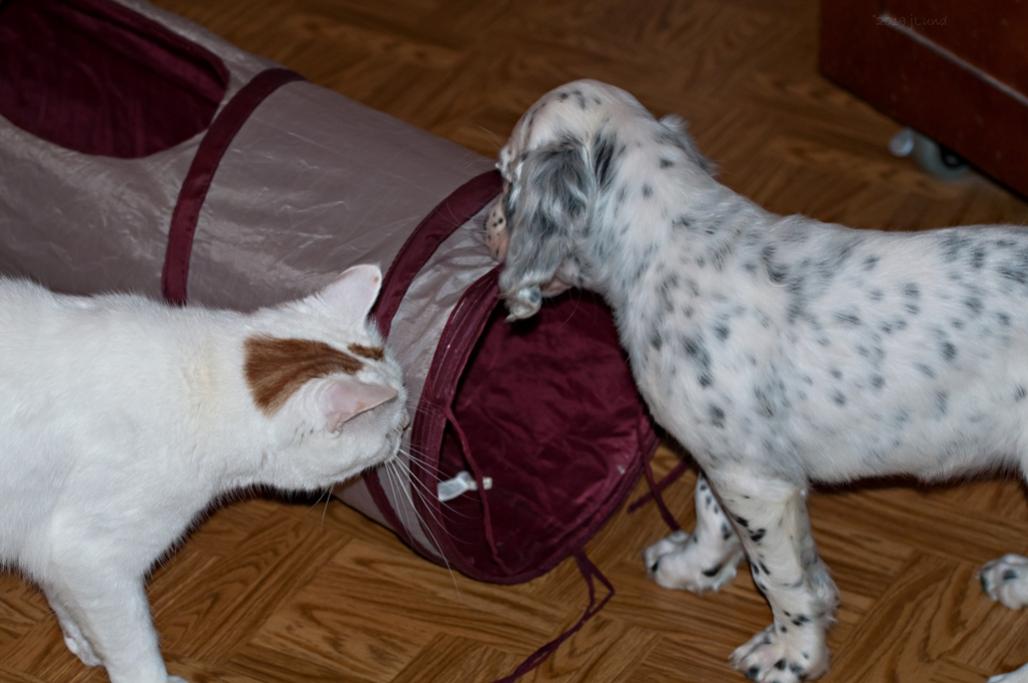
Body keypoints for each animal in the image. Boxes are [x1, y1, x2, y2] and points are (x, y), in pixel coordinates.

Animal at [0, 263, 407, 678]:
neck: (202, 383)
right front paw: (152, 676)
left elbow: (64, 599)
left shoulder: (47, 546)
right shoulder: (90, 555)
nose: (406, 426)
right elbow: (133, 646)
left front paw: (83, 643)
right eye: (390, 431)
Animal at [487, 78, 1028, 678]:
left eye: (505, 175)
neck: (671, 243)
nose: (484, 230)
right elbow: (710, 507)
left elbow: (782, 578)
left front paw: (791, 655)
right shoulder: (727, 458)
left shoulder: (757, 479)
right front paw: (693, 564)